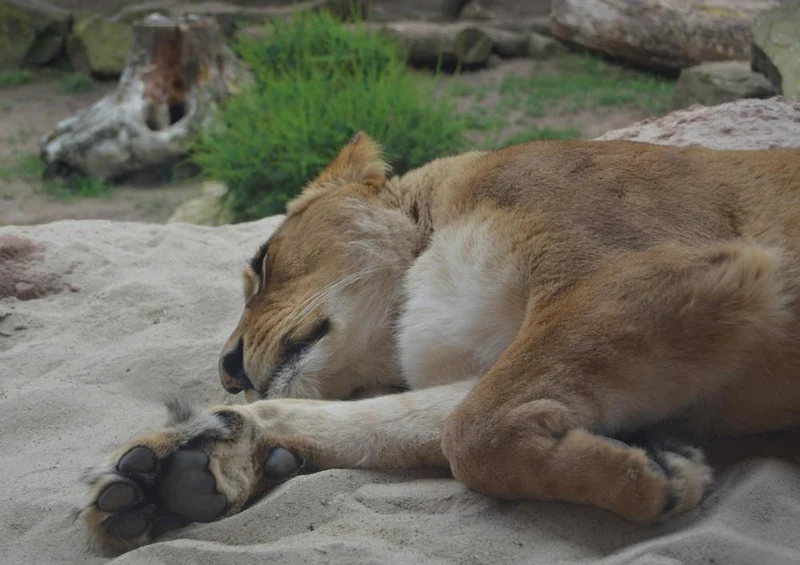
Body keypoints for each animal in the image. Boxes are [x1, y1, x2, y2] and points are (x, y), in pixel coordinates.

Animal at [80, 133, 800, 553]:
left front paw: (651, 474)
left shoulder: (659, 268)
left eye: (261, 262)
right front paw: (179, 469)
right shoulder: (502, 359)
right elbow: (393, 423)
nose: (228, 370)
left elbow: (472, 435)